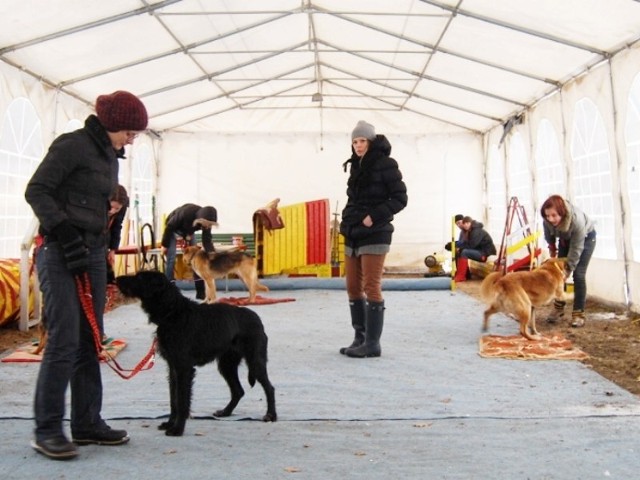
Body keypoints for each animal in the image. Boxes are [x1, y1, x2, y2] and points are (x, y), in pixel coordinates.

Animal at [116, 270, 276, 436]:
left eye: (140, 277)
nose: (117, 279)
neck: (173, 312)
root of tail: (257, 319)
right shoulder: (173, 368)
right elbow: (173, 399)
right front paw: (170, 423)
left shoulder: (183, 368)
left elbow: (181, 400)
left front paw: (178, 428)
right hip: (227, 365)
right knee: (238, 391)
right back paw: (225, 412)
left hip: (255, 362)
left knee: (269, 388)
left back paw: (271, 415)